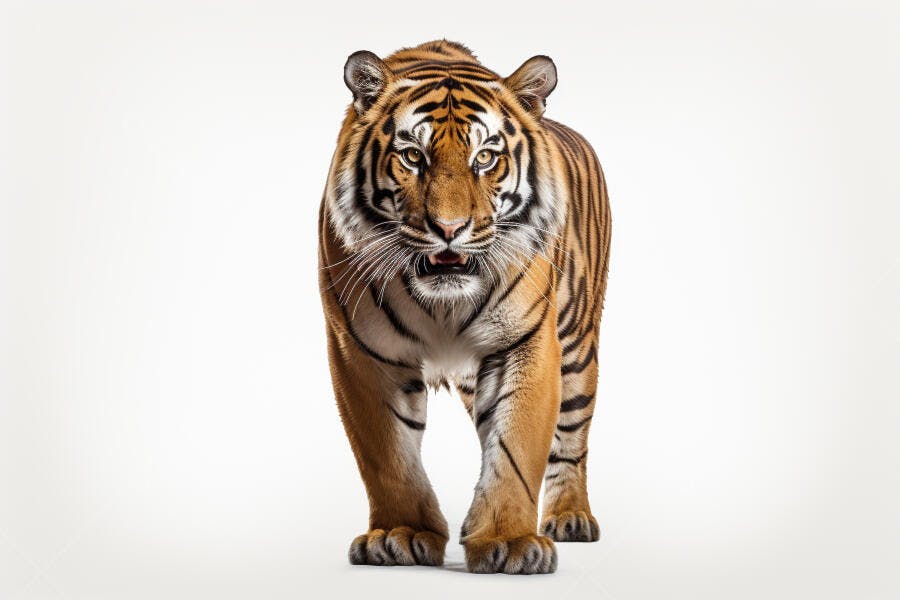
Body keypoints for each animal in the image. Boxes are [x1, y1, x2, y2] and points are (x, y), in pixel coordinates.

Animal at [318, 40, 611, 574]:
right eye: (412, 156)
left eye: (485, 157)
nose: (449, 228)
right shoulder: (362, 349)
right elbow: (388, 453)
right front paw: (401, 534)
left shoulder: (526, 341)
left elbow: (517, 445)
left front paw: (509, 541)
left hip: (579, 346)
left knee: (571, 437)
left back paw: (571, 517)